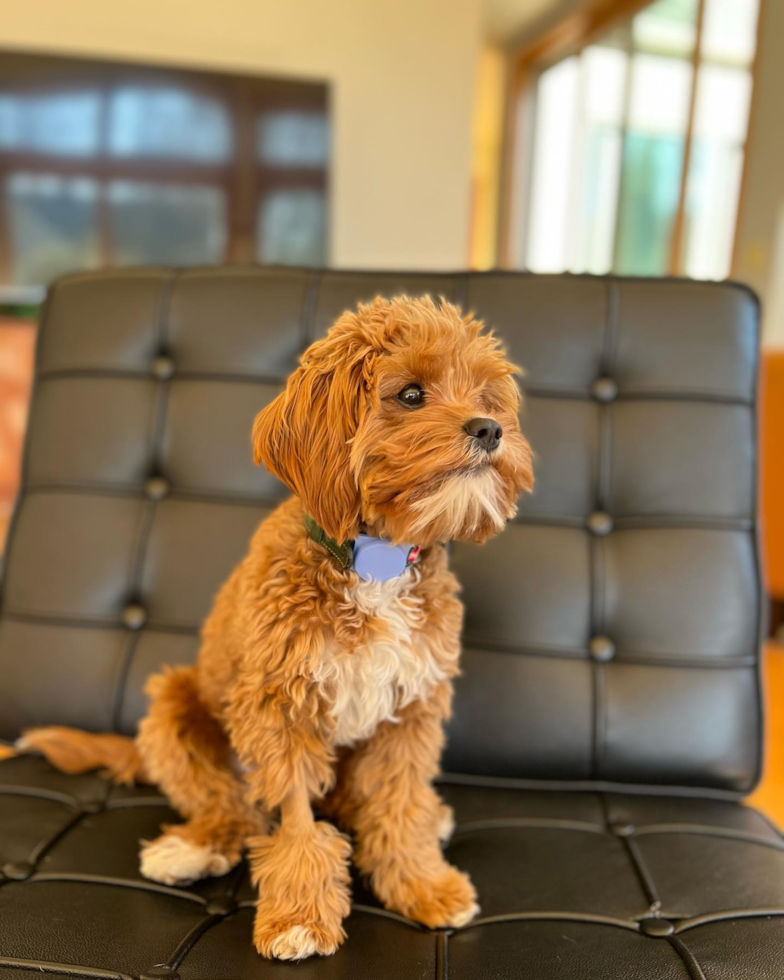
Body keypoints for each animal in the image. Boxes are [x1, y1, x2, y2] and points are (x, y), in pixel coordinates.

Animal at [18, 294, 532, 960]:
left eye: (487, 396)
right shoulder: (279, 705)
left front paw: (420, 883)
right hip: (174, 707)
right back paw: (192, 848)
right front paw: (300, 917)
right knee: (230, 808)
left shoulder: (412, 710)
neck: (374, 560)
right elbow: (294, 816)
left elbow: (396, 802)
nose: (490, 429)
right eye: (412, 394)